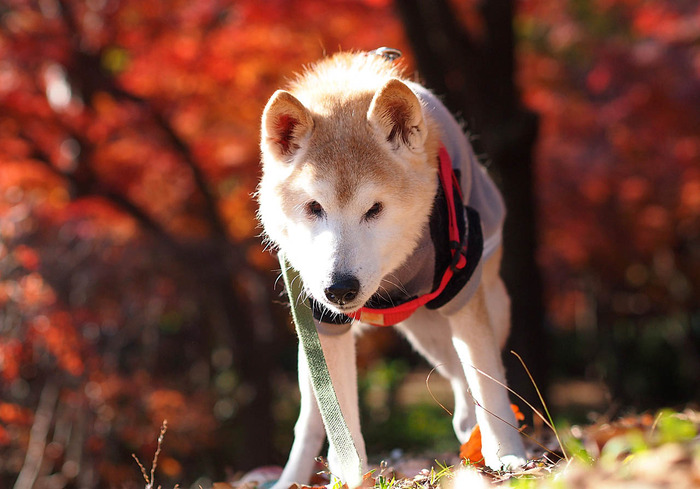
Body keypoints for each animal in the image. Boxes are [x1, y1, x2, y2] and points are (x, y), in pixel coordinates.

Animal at [258, 51, 524, 486]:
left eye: (375, 209)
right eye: (314, 207)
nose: (340, 289)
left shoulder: (464, 298)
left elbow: (488, 385)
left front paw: (510, 458)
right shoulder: (324, 321)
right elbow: (342, 426)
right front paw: (353, 477)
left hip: (461, 323)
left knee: (467, 391)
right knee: (310, 421)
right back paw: (289, 477)